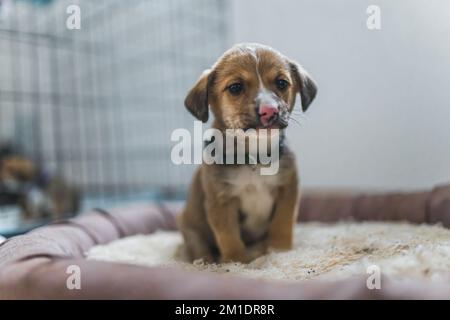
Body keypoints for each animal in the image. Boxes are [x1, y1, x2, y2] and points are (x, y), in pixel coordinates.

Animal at [176, 43, 316, 262]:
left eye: (282, 83)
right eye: (235, 87)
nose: (270, 111)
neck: (254, 158)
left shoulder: (288, 190)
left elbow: (282, 224)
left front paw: (280, 251)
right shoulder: (221, 201)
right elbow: (229, 236)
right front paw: (236, 262)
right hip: (189, 226)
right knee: (197, 247)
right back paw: (205, 261)